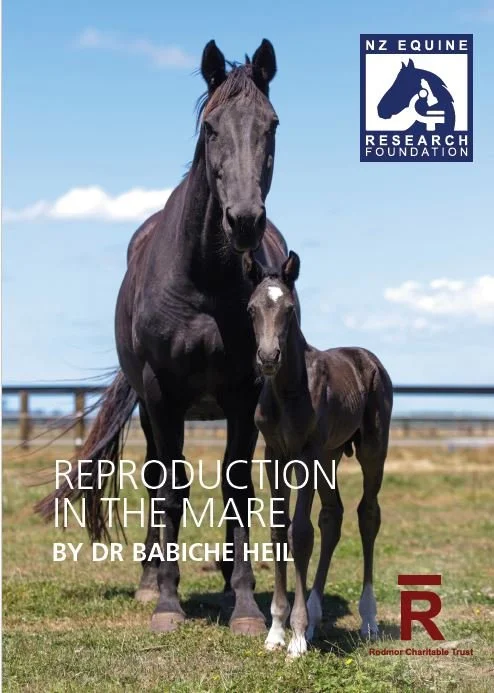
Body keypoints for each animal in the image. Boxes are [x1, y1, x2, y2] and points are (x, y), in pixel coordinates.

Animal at [36, 39, 299, 637]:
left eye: (271, 124)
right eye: (210, 127)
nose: (244, 220)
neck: (204, 278)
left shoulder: (243, 394)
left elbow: (236, 488)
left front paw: (244, 604)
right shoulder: (163, 395)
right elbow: (170, 489)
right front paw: (166, 602)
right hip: (153, 408)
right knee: (158, 476)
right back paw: (149, 577)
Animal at [242, 250, 393, 657]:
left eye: (290, 309)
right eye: (251, 309)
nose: (267, 357)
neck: (288, 391)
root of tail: (368, 358)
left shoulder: (306, 456)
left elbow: (301, 533)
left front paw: (295, 639)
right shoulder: (274, 455)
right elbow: (280, 530)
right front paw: (278, 630)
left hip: (372, 449)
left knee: (367, 514)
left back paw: (368, 620)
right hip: (330, 456)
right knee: (332, 516)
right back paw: (314, 617)